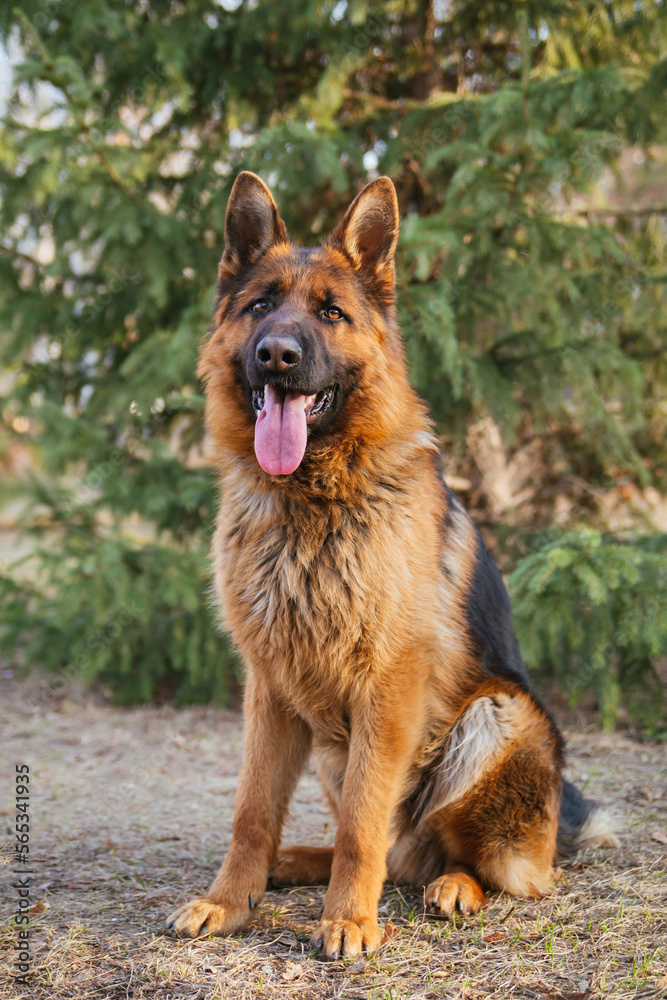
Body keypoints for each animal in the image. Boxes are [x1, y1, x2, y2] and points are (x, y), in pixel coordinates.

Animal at [168, 174, 620, 960]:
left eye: (331, 313)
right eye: (260, 307)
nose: (277, 354)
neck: (312, 499)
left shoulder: (388, 688)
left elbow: (361, 821)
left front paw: (350, 919)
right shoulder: (268, 690)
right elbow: (252, 812)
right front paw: (229, 902)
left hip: (498, 718)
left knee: (493, 868)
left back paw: (453, 886)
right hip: (327, 743)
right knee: (395, 851)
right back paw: (297, 863)